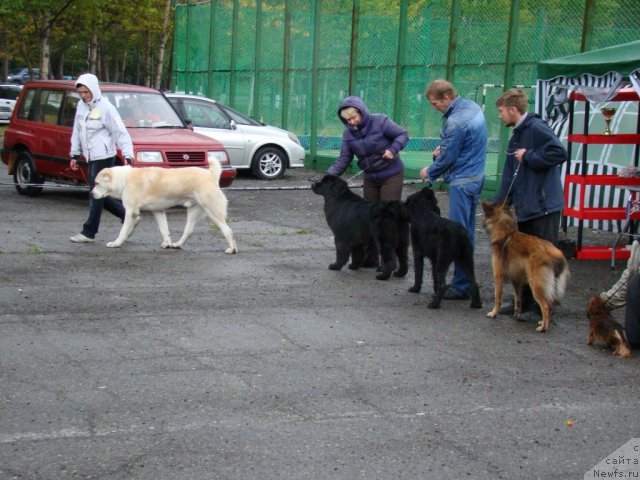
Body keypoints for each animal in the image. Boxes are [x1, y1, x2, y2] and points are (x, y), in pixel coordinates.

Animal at [90, 158, 238, 255]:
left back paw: (232, 249)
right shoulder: (158, 211)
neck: (125, 180)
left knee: (228, 230)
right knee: (189, 231)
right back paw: (177, 244)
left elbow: (123, 231)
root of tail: (210, 175)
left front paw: (116, 243)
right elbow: (164, 230)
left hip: (212, 211)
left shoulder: (131, 212)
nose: (91, 194)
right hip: (193, 211)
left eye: (97, 183)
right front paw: (167, 243)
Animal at [480, 201, 568, 332]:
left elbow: (497, 297)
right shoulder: (516, 280)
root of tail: (557, 254)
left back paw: (543, 327)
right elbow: (518, 299)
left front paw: (494, 313)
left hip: (536, 285)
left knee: (546, 306)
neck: (506, 232)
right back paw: (542, 321)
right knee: (551, 304)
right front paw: (516, 314)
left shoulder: (498, 276)